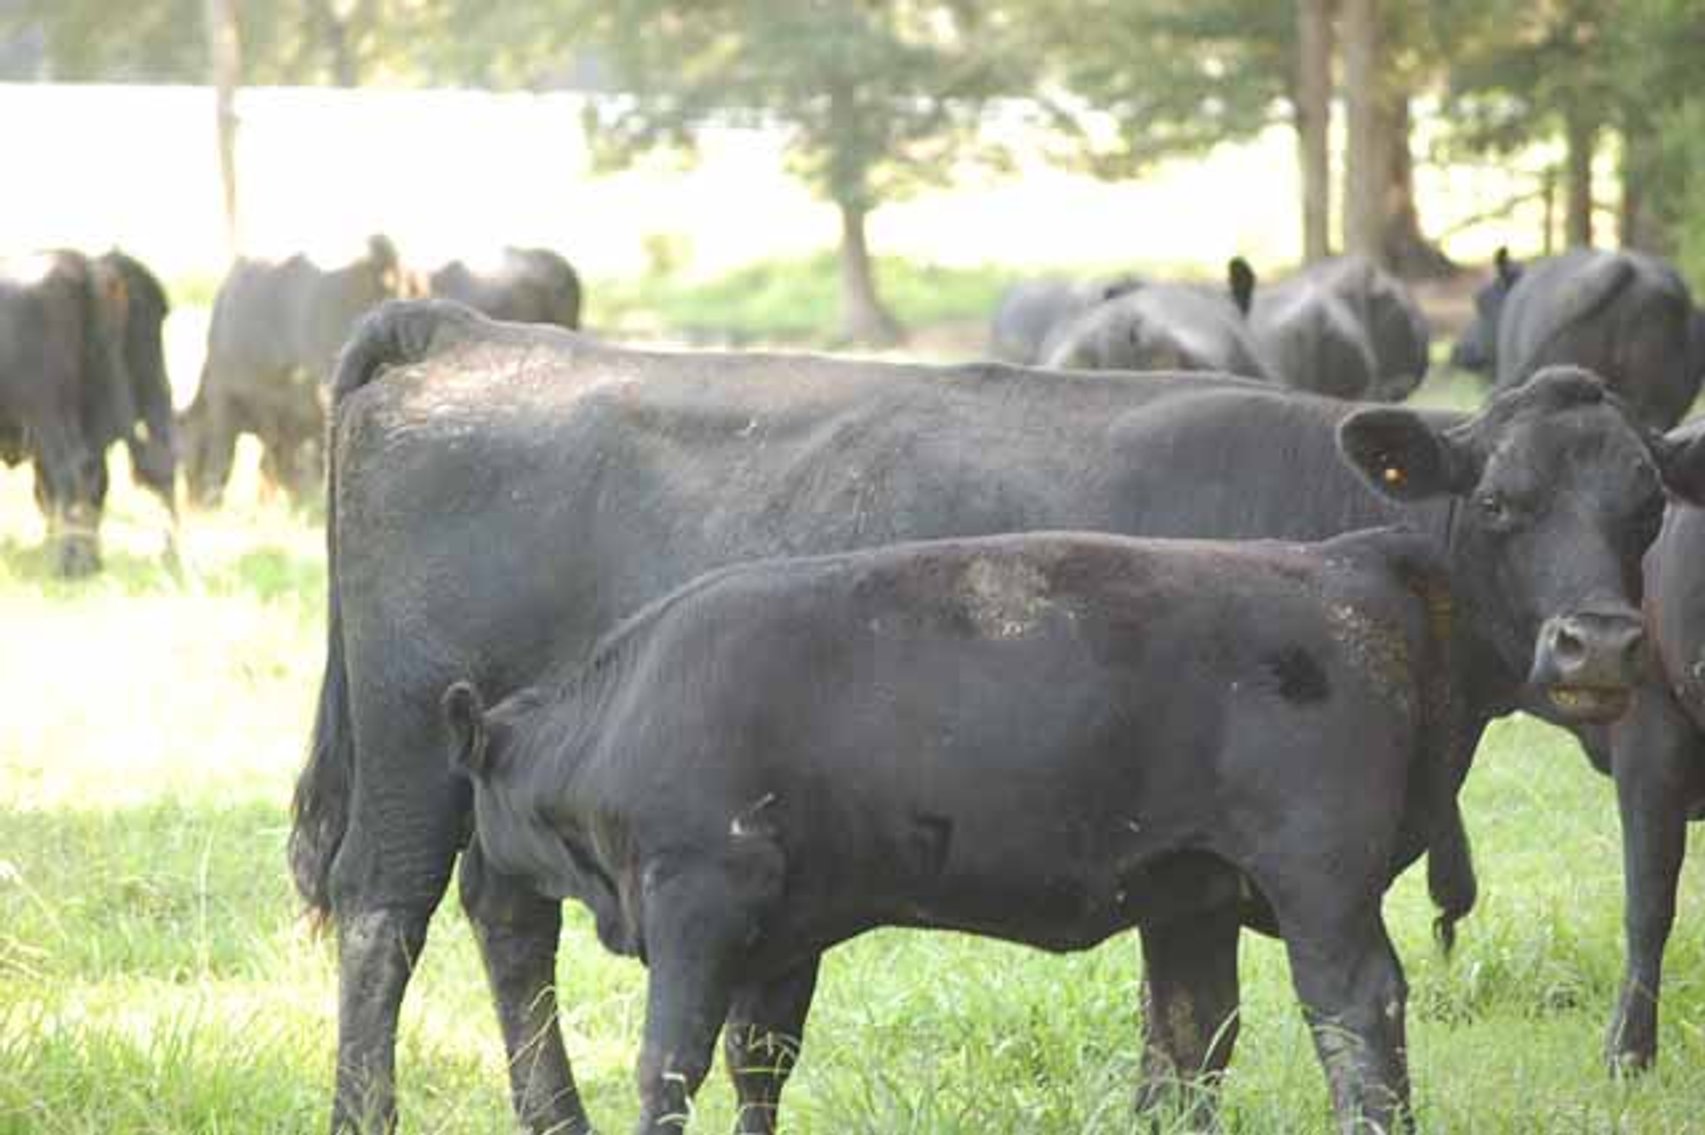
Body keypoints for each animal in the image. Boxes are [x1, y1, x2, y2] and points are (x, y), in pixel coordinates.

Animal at [445, 526, 1462, 1134]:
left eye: (473, 798)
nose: (473, 878)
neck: (624, 714)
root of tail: (1341, 568)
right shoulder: (780, 931)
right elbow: (757, 1061)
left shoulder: (699, 896)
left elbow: (667, 1063)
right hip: (1199, 889)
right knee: (1201, 1026)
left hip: (1320, 881)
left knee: (1356, 1008)